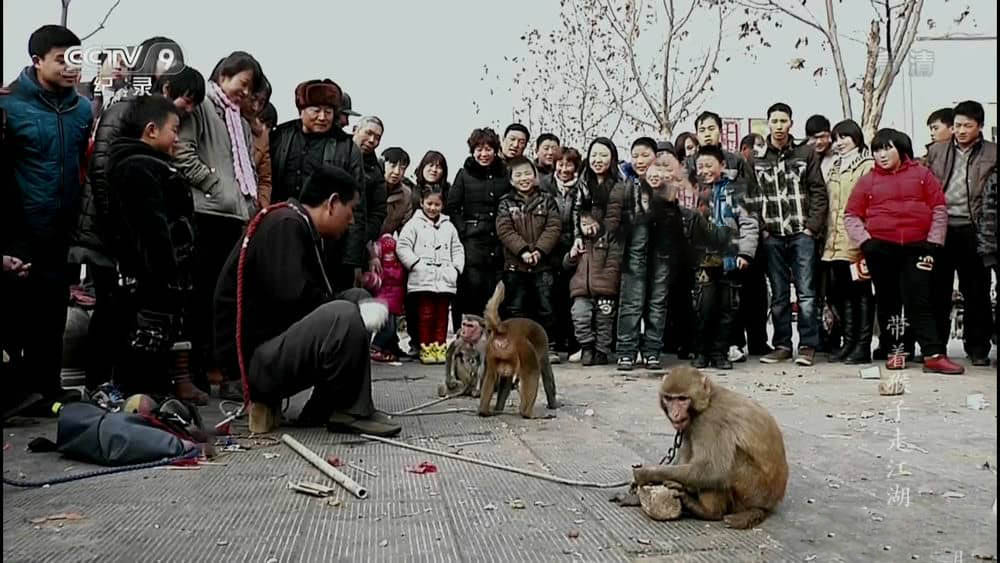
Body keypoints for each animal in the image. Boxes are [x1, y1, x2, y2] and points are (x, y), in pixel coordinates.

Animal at [478, 282, 560, 418]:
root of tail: (503, 329)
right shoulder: (537, 350)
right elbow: (546, 376)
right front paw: (553, 404)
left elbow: (504, 382)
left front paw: (498, 408)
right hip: (523, 346)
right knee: (533, 372)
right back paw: (527, 413)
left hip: (491, 350)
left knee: (490, 374)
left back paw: (484, 411)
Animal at [632, 368, 788, 532]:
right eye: (669, 398)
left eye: (682, 399)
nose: (675, 414)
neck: (708, 401)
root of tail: (769, 505)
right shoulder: (689, 425)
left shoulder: (709, 422)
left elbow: (713, 471)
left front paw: (646, 473)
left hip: (752, 490)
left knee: (726, 467)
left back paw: (707, 511)